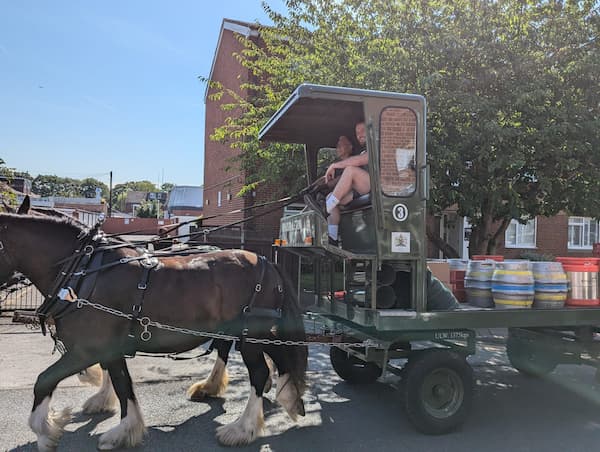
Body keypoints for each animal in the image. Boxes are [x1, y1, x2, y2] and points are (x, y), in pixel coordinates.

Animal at [0, 204, 310, 448]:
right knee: (274, 359)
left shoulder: (86, 349)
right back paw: (287, 397)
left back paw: (241, 429)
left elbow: (45, 380)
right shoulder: (109, 348)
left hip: (251, 334)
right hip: (250, 334)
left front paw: (46, 430)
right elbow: (121, 382)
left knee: (259, 372)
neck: (83, 270)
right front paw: (120, 425)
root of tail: (267, 261)